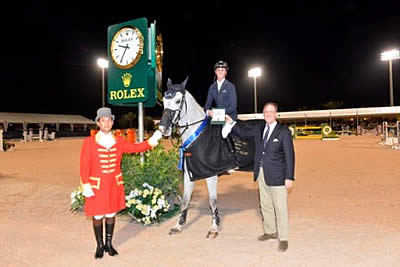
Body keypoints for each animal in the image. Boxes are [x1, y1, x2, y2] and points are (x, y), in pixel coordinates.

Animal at [159, 76, 255, 240]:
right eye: (165, 100)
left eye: (178, 101)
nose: (163, 128)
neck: (197, 135)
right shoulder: (189, 174)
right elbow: (185, 200)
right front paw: (178, 225)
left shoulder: (211, 175)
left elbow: (212, 201)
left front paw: (214, 228)